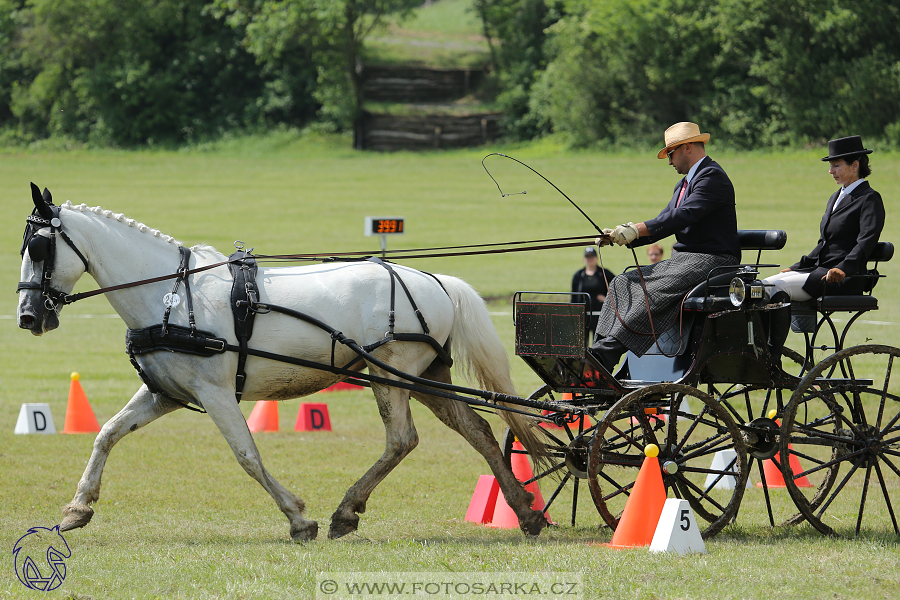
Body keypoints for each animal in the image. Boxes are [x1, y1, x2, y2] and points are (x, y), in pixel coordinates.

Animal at [17, 189, 548, 544]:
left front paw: (299, 518)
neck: (170, 296)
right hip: (424, 377)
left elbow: (247, 455)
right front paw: (77, 509)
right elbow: (107, 433)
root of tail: (435, 279)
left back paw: (346, 512)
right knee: (477, 430)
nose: (27, 317)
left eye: (39, 248)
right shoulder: (165, 393)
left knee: (402, 440)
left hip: (389, 374)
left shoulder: (214, 393)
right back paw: (525, 510)